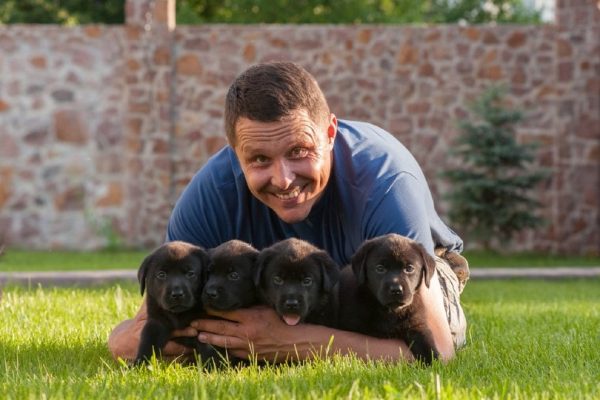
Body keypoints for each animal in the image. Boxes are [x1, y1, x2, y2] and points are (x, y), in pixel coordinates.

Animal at [338, 233, 440, 364]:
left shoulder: (417, 326)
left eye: (409, 268)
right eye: (380, 268)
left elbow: (429, 349)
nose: (396, 290)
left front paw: (437, 365)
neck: (391, 312)